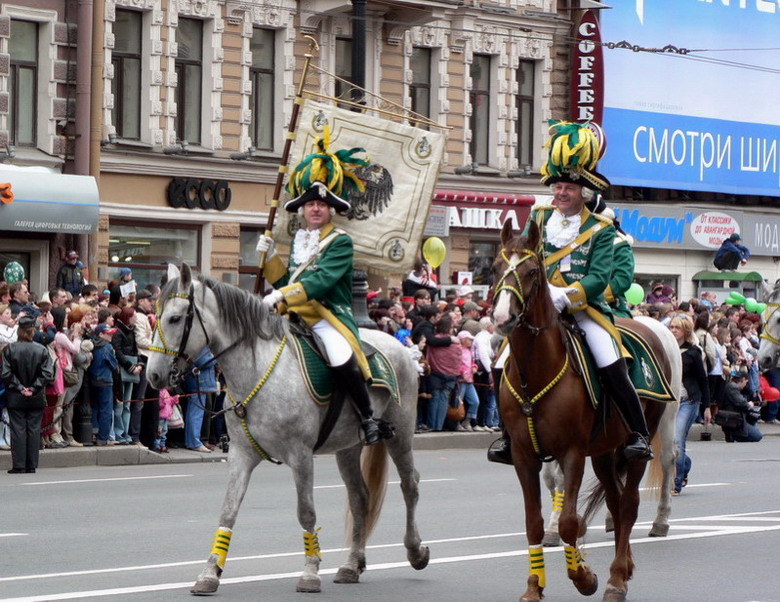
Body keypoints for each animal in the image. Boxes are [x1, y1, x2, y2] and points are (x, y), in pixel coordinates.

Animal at [146, 264, 426, 592]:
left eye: (175, 318)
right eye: (155, 313)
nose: (153, 374)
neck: (256, 372)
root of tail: (394, 341)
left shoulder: (301, 456)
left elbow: (306, 512)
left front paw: (310, 572)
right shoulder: (240, 455)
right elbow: (228, 510)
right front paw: (209, 573)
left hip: (401, 433)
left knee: (410, 485)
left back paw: (415, 551)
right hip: (348, 447)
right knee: (360, 499)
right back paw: (351, 565)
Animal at [494, 220, 672, 600]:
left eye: (532, 271)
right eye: (496, 267)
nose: (502, 318)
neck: (536, 370)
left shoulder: (572, 452)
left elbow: (568, 522)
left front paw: (584, 577)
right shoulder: (523, 456)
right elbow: (533, 523)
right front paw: (534, 586)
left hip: (639, 442)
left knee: (629, 505)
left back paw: (616, 580)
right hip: (604, 452)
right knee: (616, 504)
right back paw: (623, 569)